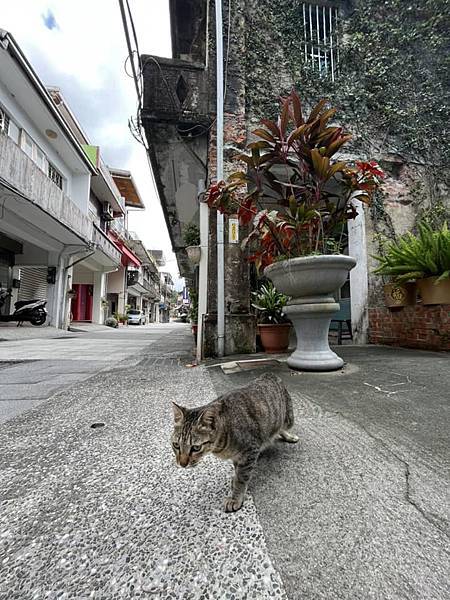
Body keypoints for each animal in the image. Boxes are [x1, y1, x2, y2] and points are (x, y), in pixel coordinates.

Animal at [171, 372, 298, 512]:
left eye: (196, 448)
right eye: (176, 445)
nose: (182, 464)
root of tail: (269, 374)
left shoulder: (249, 451)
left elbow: (241, 478)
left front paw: (235, 497)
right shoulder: (238, 456)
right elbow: (237, 471)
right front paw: (234, 481)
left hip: (288, 419)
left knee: (281, 428)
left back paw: (289, 436)